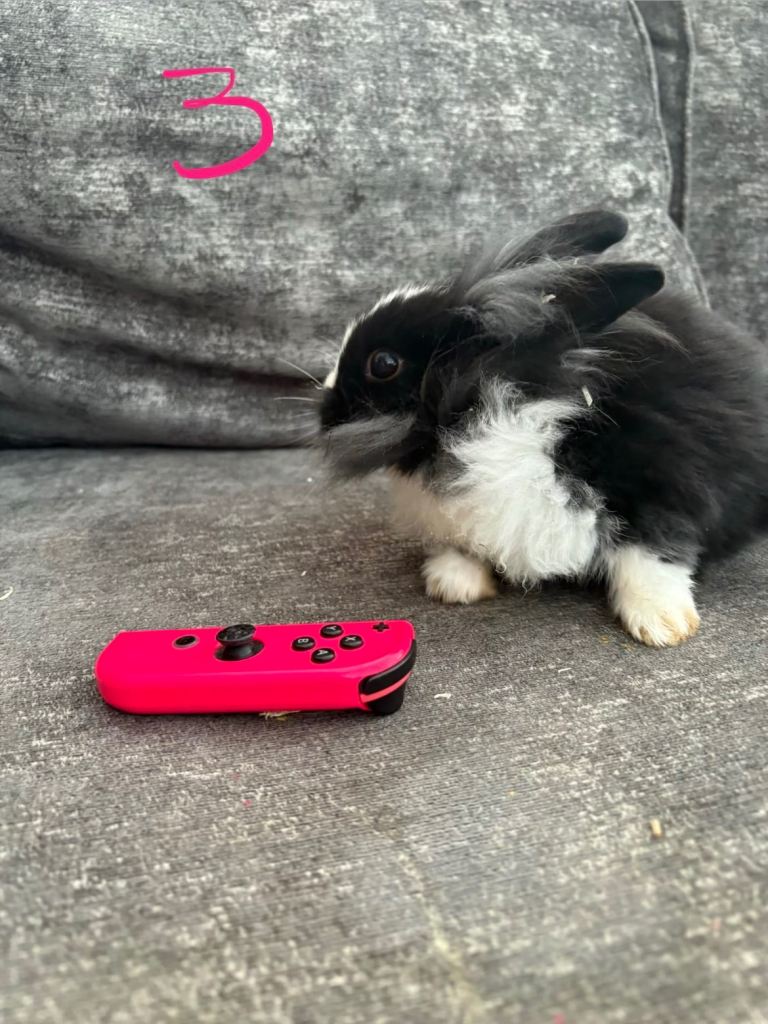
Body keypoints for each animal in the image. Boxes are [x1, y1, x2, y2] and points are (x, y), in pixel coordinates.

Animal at [319, 210, 768, 647]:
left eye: (383, 364)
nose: (324, 407)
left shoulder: (661, 488)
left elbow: (651, 556)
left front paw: (662, 624)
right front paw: (454, 583)